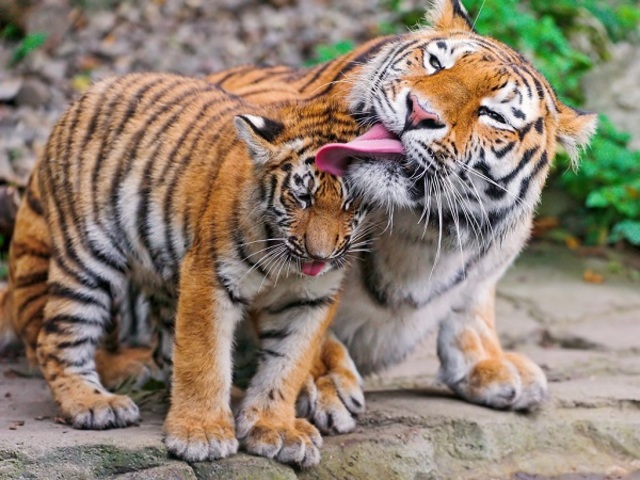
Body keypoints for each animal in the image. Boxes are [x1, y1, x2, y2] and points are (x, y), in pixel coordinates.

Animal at [0, 72, 370, 467]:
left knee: (165, 352)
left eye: (350, 203)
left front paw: (275, 428)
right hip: (86, 258)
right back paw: (94, 403)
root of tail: (94, 88)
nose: (320, 256)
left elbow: (287, 366)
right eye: (301, 198)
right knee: (56, 338)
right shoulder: (211, 277)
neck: (285, 261)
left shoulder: (309, 300)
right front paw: (201, 434)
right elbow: (203, 357)